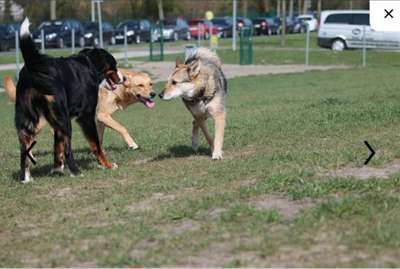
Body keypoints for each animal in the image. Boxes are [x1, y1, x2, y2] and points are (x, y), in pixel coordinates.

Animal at [15, 17, 121, 182]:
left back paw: (25, 178)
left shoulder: (56, 123)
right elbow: (96, 145)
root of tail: (34, 65)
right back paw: (76, 171)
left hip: (28, 118)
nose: (123, 78)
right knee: (68, 149)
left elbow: (57, 147)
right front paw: (107, 165)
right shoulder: (86, 116)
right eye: (114, 66)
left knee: (24, 149)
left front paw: (57, 169)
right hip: (64, 119)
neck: (88, 64)